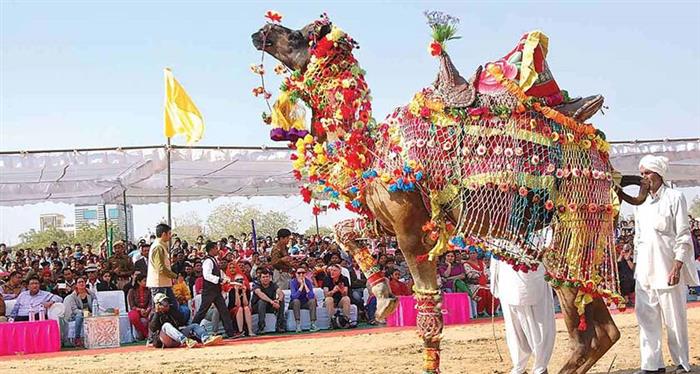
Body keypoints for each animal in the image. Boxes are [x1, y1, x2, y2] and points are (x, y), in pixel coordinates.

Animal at [252, 12, 652, 374]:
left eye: (299, 35)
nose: (262, 31)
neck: (374, 148)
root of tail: (609, 166)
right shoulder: (388, 220)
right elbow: (344, 230)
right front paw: (383, 298)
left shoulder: (411, 231)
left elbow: (429, 315)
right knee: (600, 333)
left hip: (576, 228)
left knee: (592, 330)